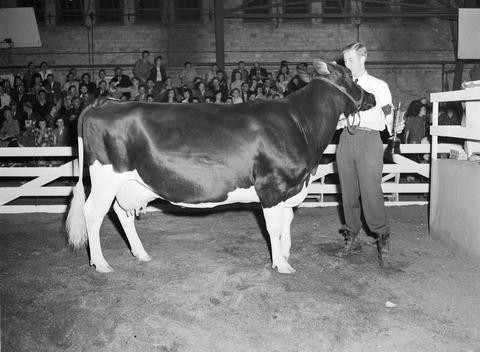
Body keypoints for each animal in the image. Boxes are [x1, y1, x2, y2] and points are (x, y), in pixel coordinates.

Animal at [65, 60, 376, 276]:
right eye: (351, 77)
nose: (372, 98)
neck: (300, 124)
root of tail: (104, 101)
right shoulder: (272, 185)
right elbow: (274, 227)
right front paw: (281, 264)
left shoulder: (290, 186)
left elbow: (287, 222)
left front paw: (285, 256)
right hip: (106, 177)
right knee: (93, 213)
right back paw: (101, 263)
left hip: (132, 183)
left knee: (122, 213)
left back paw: (140, 254)